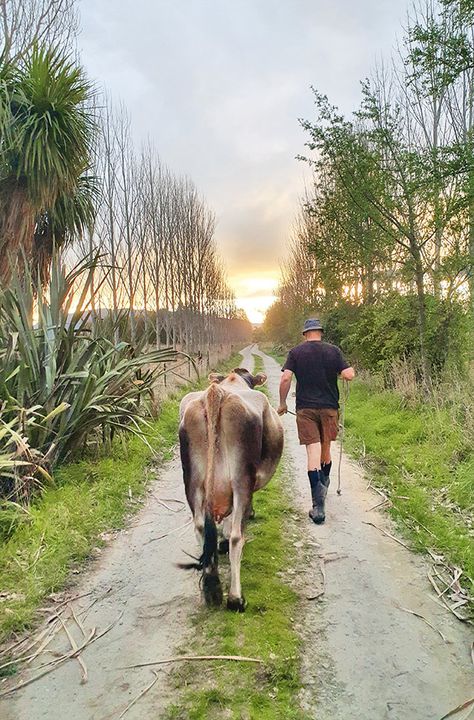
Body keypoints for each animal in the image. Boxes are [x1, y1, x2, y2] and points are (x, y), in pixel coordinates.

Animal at [177, 368, 282, 612]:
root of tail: (216, 393)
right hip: (241, 479)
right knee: (237, 536)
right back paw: (235, 598)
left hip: (193, 482)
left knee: (199, 527)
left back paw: (211, 589)